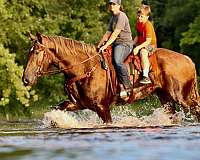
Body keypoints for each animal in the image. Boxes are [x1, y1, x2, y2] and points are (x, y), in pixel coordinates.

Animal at [22, 33, 200, 123]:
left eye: (36, 52)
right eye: (29, 52)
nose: (26, 79)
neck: (85, 68)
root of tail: (188, 59)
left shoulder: (102, 107)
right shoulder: (77, 103)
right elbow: (57, 109)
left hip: (182, 97)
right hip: (165, 98)